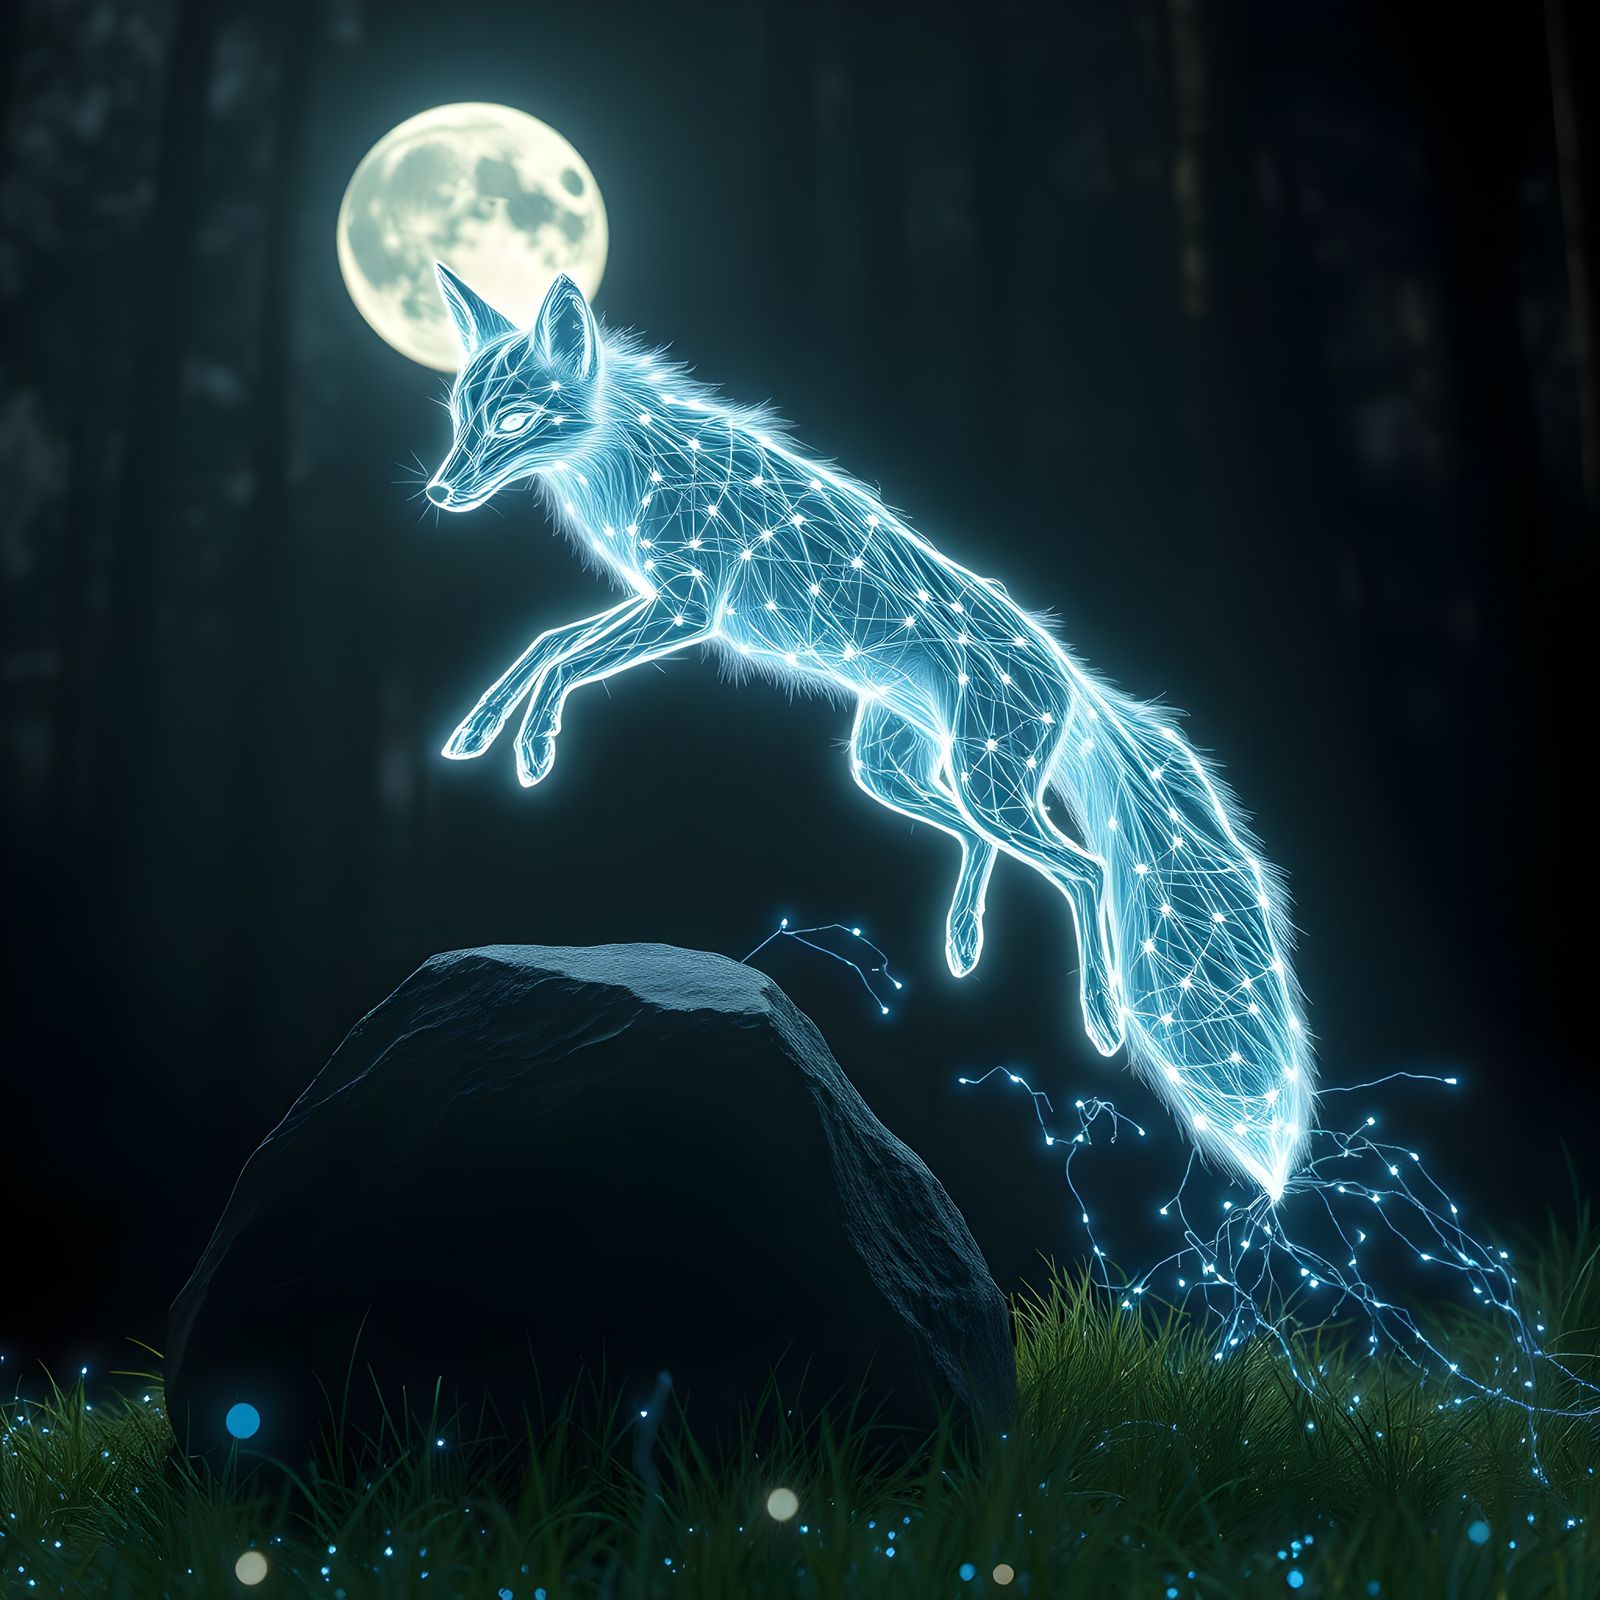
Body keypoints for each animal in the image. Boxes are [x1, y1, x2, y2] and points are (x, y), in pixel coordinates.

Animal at [423, 265, 1316, 1200]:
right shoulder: (658, 605)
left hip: (986, 784)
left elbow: (559, 655)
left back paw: (1101, 1020)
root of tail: (1073, 679)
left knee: (1089, 869)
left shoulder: (684, 609)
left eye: (513, 422)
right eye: (458, 419)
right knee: (982, 842)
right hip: (888, 770)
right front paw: (481, 733)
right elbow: (543, 645)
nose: (439, 493)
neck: (631, 464)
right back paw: (962, 942)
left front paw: (533, 747)